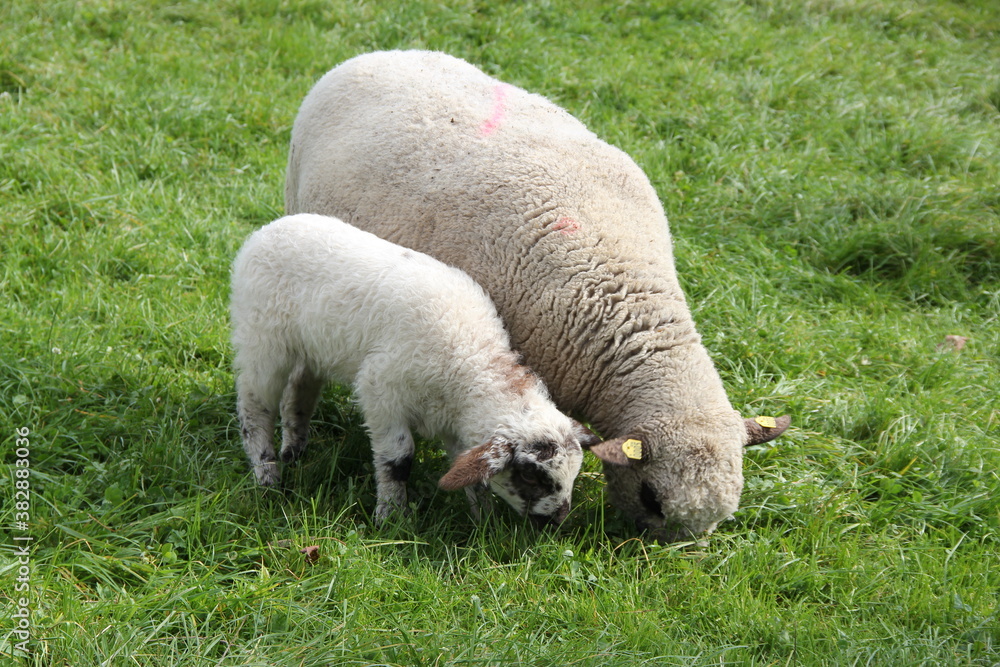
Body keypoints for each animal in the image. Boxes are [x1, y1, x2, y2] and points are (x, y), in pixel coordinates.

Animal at [230, 213, 599, 526]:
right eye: (530, 475)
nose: (556, 522)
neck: (473, 360)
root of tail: (268, 229)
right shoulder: (380, 389)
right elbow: (399, 458)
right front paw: (392, 516)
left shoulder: (455, 423)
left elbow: (469, 470)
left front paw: (484, 521)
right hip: (263, 340)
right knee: (254, 406)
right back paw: (266, 474)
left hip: (313, 346)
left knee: (298, 389)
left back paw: (293, 450)